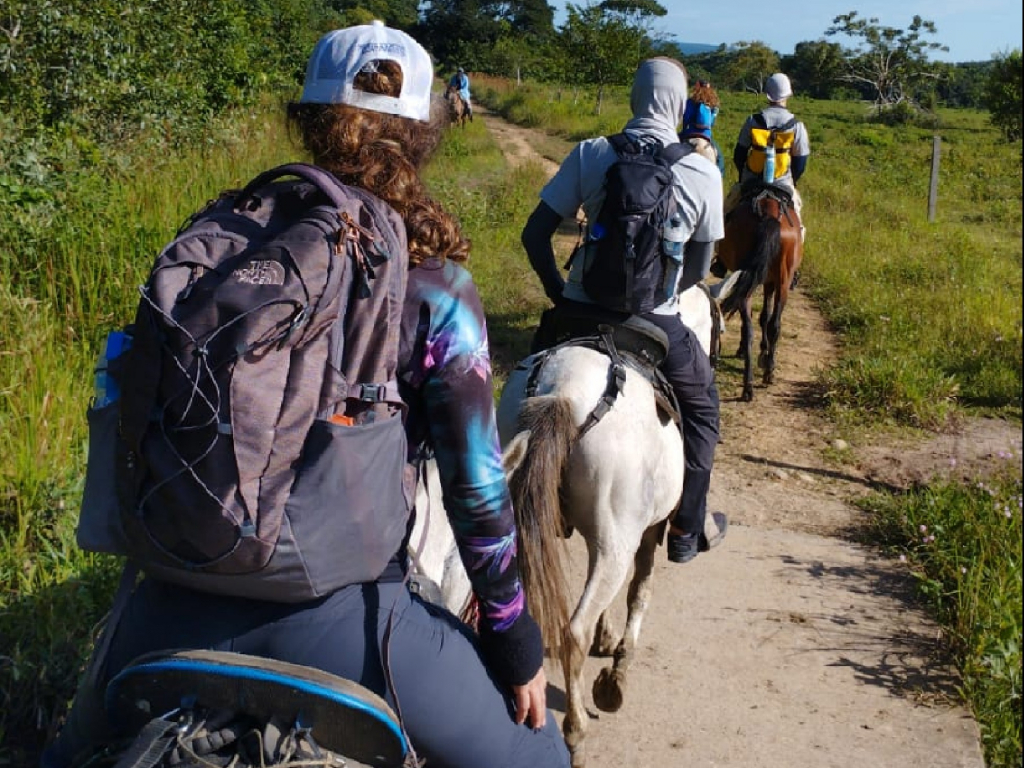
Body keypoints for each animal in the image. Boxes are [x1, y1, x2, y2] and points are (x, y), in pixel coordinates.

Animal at [712, 185, 798, 399]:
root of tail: (769, 215)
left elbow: (762, 316)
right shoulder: (769, 281)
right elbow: (764, 316)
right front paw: (762, 353)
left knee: (753, 324)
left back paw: (750, 382)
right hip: (782, 281)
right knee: (771, 324)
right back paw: (765, 374)